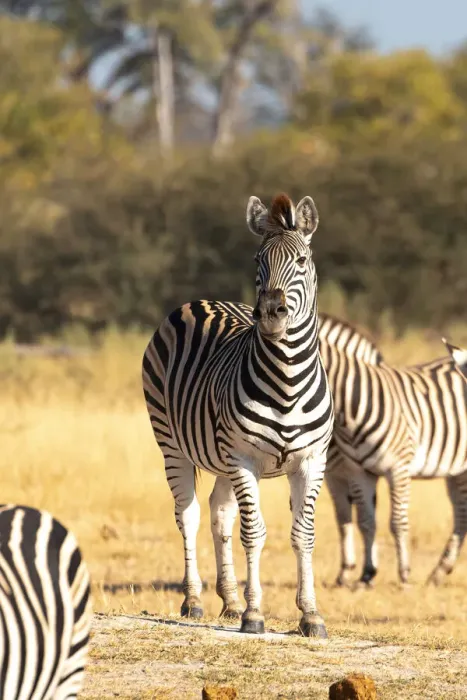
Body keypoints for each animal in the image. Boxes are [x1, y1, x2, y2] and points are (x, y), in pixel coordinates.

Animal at [143, 193, 334, 637]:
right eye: (257, 260)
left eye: (302, 260)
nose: (271, 313)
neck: (287, 382)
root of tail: (200, 300)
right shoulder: (244, 458)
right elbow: (254, 532)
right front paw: (254, 613)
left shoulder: (311, 460)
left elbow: (303, 534)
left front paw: (310, 615)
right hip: (173, 444)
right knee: (189, 515)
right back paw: (195, 600)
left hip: (222, 457)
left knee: (219, 513)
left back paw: (228, 600)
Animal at [318, 327, 467, 587]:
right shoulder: (356, 472)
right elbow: (362, 521)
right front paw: (365, 574)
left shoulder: (396, 468)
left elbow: (396, 522)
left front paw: (404, 574)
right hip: (455, 469)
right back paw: (439, 572)